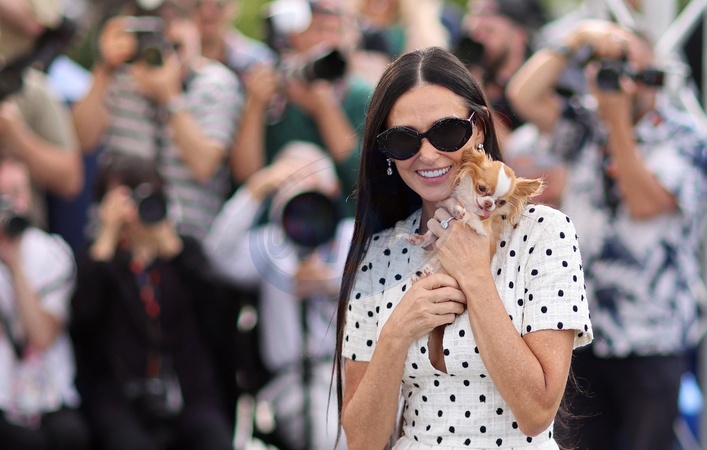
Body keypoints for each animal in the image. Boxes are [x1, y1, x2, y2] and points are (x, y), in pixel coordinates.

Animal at [403, 147, 544, 280]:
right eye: (481, 188)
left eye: (501, 202)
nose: (488, 203)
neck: (470, 203)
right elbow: (429, 235)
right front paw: (418, 238)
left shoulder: (483, 228)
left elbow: (472, 216)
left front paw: (462, 212)